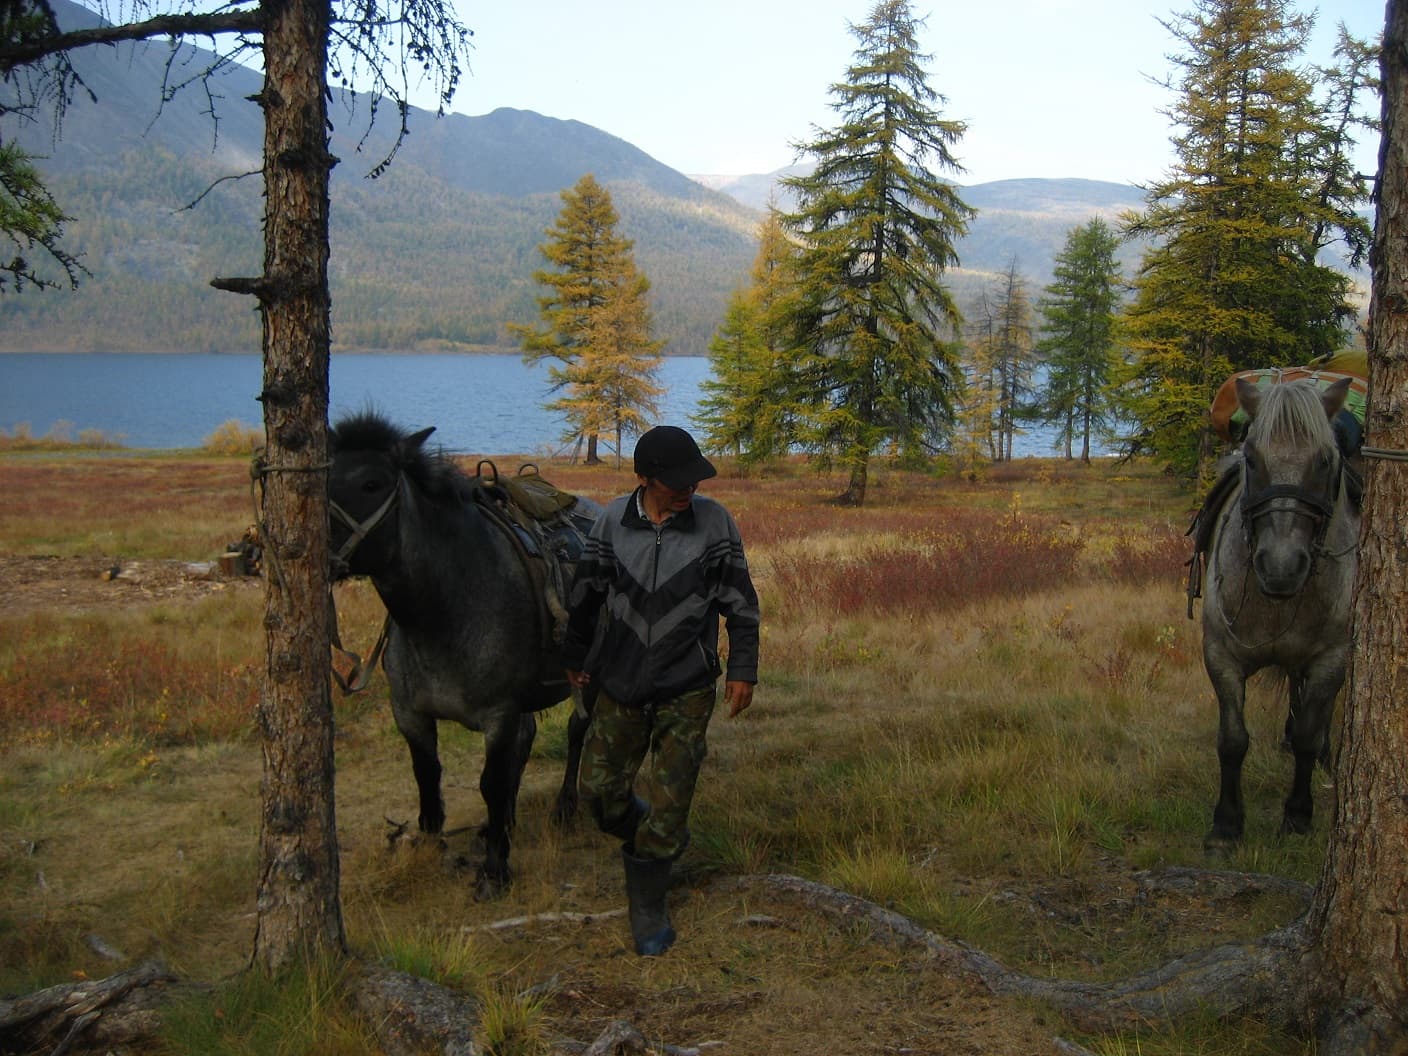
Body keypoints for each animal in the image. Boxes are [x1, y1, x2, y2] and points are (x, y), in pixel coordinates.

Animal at [328, 413, 599, 901]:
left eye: (372, 483)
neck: (443, 612)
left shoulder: (499, 713)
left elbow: (490, 782)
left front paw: (494, 869)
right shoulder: (410, 714)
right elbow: (427, 778)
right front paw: (431, 846)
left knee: (576, 730)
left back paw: (564, 807)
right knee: (528, 739)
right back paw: (504, 822)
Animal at [1193, 377, 1357, 856]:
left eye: (1326, 459)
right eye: (1251, 457)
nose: (1281, 566)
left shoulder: (1331, 658)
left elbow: (1306, 735)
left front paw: (1298, 816)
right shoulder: (1221, 655)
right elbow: (1232, 740)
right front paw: (1226, 824)